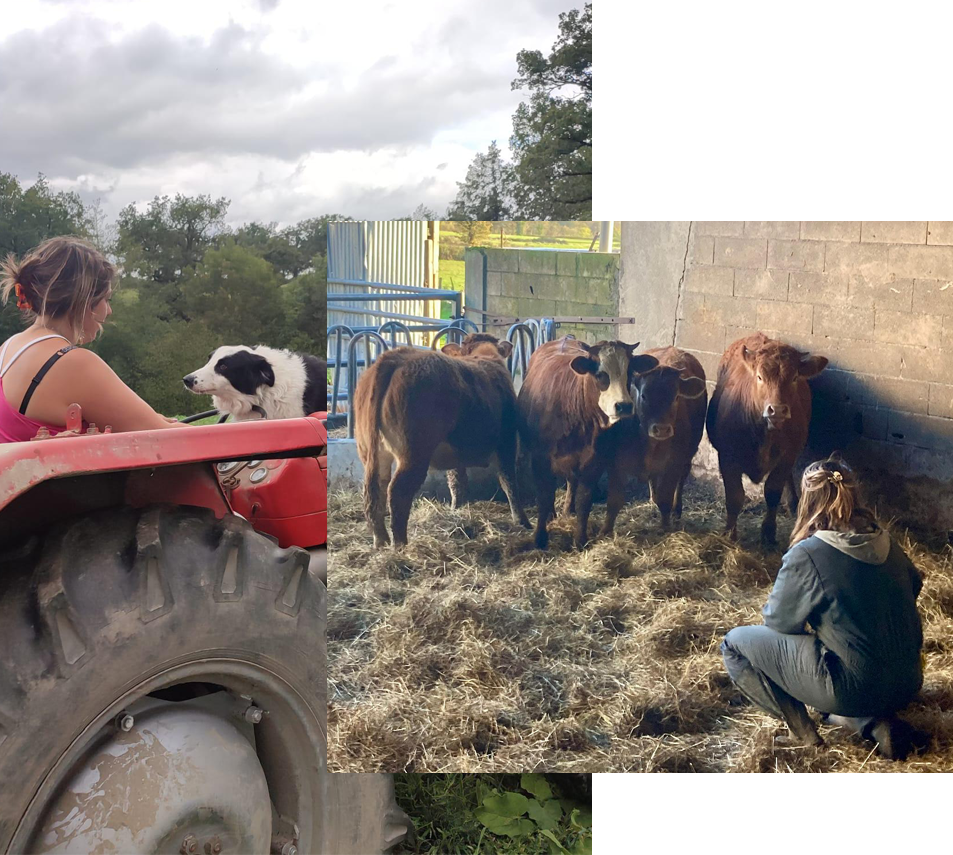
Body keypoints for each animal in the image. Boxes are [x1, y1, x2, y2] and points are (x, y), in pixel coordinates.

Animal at [354, 332, 528, 548]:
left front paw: (457, 509)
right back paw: (400, 544)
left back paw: (381, 541)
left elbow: (456, 481)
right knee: (397, 492)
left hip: (371, 451)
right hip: (414, 454)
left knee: (375, 489)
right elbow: (508, 481)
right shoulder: (507, 440)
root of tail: (394, 358)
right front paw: (522, 521)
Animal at [516, 336, 660, 548]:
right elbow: (543, 497)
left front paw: (580, 539)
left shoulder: (595, 461)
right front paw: (540, 539)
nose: (624, 406)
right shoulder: (539, 459)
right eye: (600, 374)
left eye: (630, 372)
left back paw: (568, 510)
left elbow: (584, 501)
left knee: (572, 482)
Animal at [624, 348, 708, 528]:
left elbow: (666, 497)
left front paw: (664, 526)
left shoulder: (675, 462)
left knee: (682, 478)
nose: (662, 429)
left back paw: (677, 510)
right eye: (644, 396)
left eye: (676, 397)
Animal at [704, 332, 828, 544]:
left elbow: (772, 492)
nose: (777, 410)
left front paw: (769, 534)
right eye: (760, 377)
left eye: (794, 377)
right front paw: (729, 534)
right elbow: (734, 496)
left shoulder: (788, 455)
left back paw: (793, 503)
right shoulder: (727, 457)